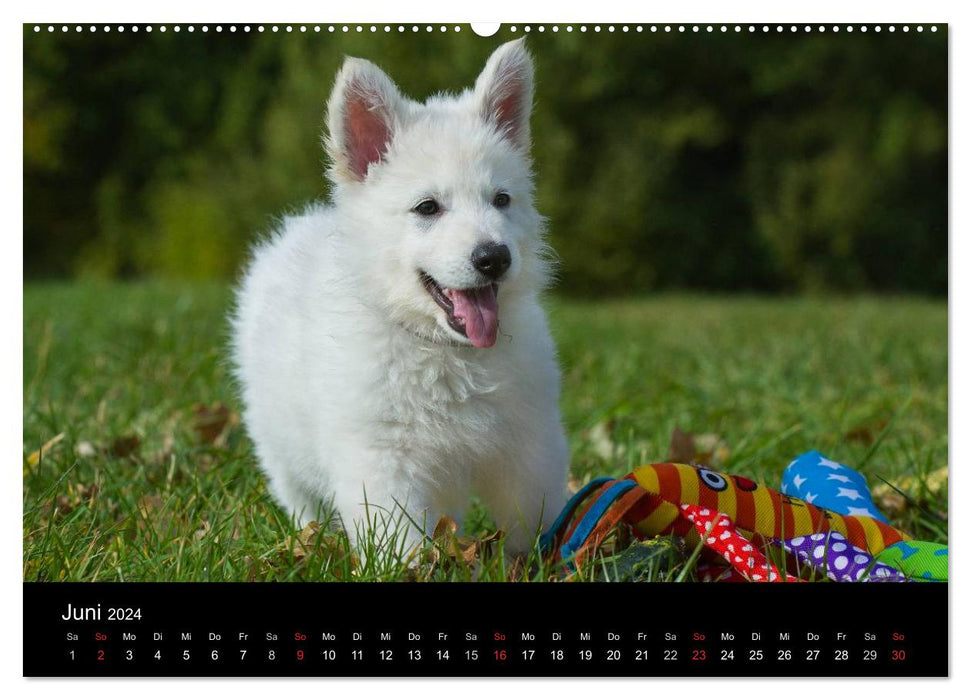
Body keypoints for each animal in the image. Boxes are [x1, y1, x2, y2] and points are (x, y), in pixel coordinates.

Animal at [233, 41, 568, 556]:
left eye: (501, 200)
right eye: (427, 208)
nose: (494, 258)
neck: (447, 353)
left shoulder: (529, 444)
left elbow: (535, 517)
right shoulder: (382, 458)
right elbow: (400, 538)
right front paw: (416, 564)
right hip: (278, 441)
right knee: (298, 495)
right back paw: (308, 537)